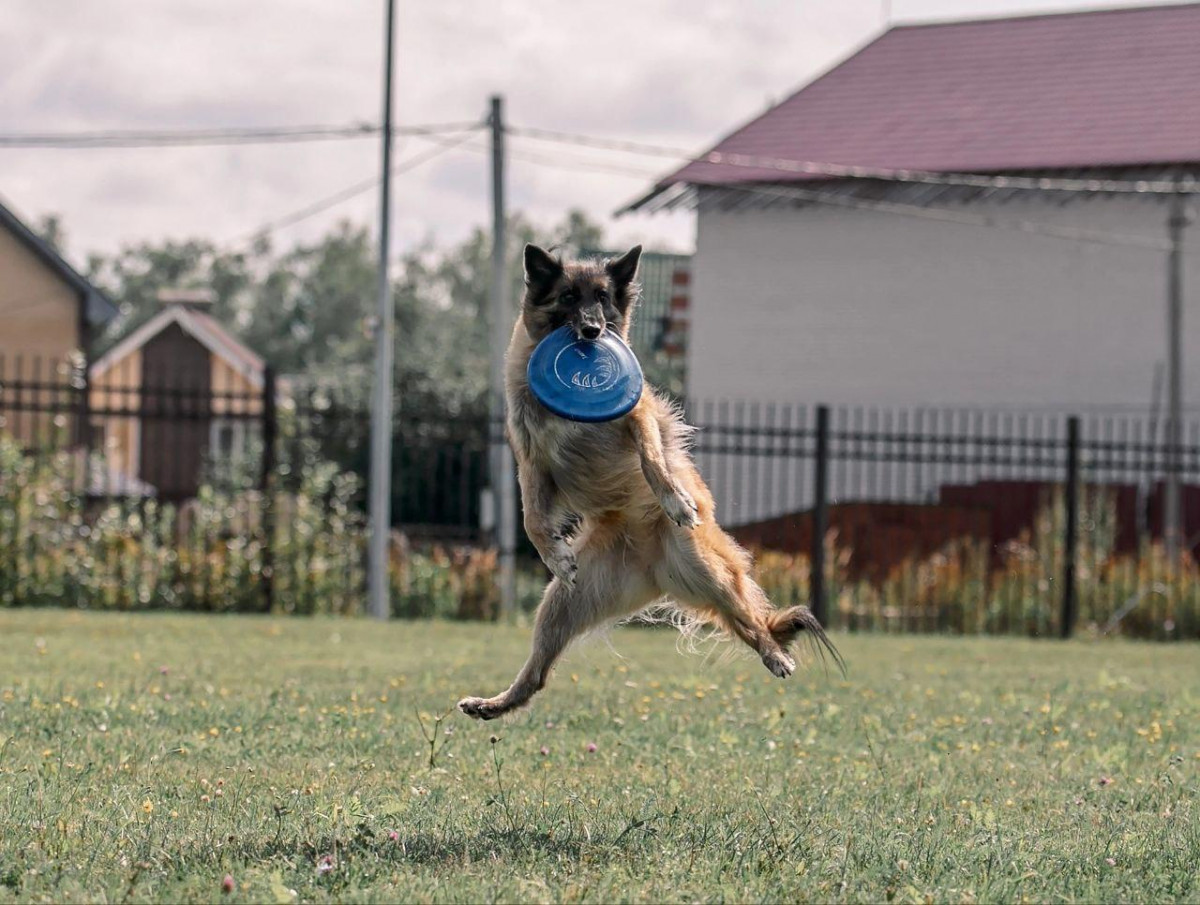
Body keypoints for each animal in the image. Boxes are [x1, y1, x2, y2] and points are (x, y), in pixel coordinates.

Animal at [453, 241, 840, 720]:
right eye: (568, 297)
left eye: (602, 297)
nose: (592, 332)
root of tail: (651, 564)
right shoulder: (531, 462)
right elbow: (531, 520)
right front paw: (556, 556)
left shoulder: (638, 416)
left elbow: (653, 459)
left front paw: (675, 500)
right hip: (562, 602)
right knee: (538, 673)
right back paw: (492, 704)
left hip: (707, 570)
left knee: (749, 622)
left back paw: (774, 654)